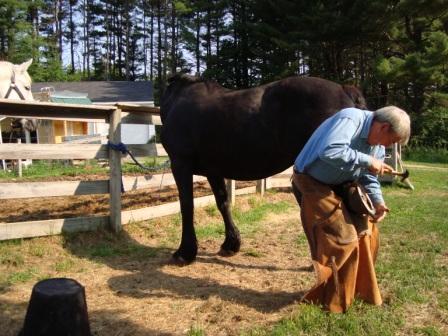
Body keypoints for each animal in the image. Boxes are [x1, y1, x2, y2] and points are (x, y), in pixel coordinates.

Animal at [159, 74, 366, 266]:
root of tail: (345, 91)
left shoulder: (181, 164)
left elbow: (187, 206)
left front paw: (185, 253)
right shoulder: (213, 170)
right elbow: (223, 203)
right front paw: (231, 244)